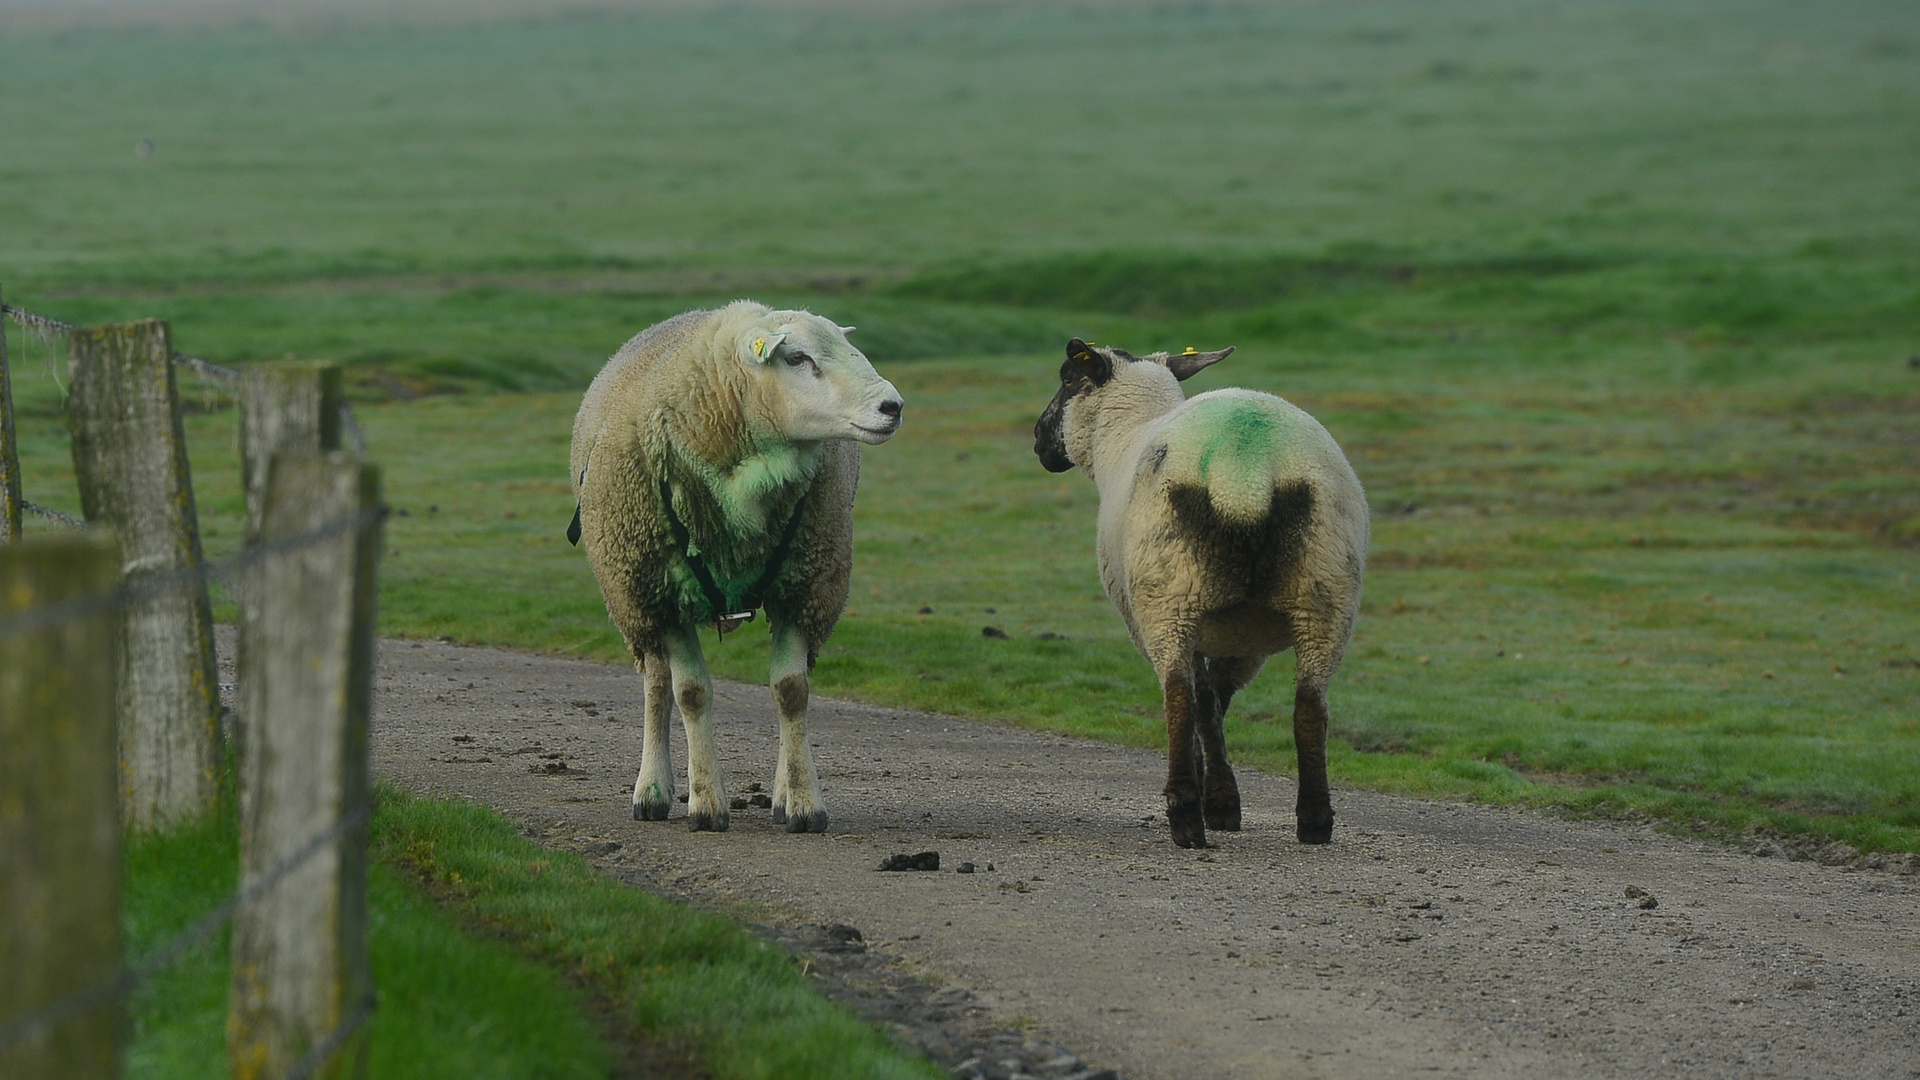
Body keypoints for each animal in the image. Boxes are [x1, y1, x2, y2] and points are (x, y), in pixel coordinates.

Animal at [572, 297, 902, 826]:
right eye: (797, 358)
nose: (892, 407)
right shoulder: (667, 589)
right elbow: (691, 693)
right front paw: (707, 803)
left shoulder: (804, 586)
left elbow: (792, 690)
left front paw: (804, 802)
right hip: (638, 596)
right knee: (658, 686)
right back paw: (653, 791)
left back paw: (780, 794)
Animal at [1036, 340, 1367, 845]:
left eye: (1067, 379)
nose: (1038, 439)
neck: (1122, 436)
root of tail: (1245, 471)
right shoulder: (1244, 635)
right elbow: (1216, 700)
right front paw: (1223, 796)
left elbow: (1200, 700)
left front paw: (1218, 802)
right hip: (1326, 591)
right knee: (1310, 704)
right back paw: (1314, 820)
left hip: (1169, 595)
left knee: (1177, 699)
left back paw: (1185, 818)